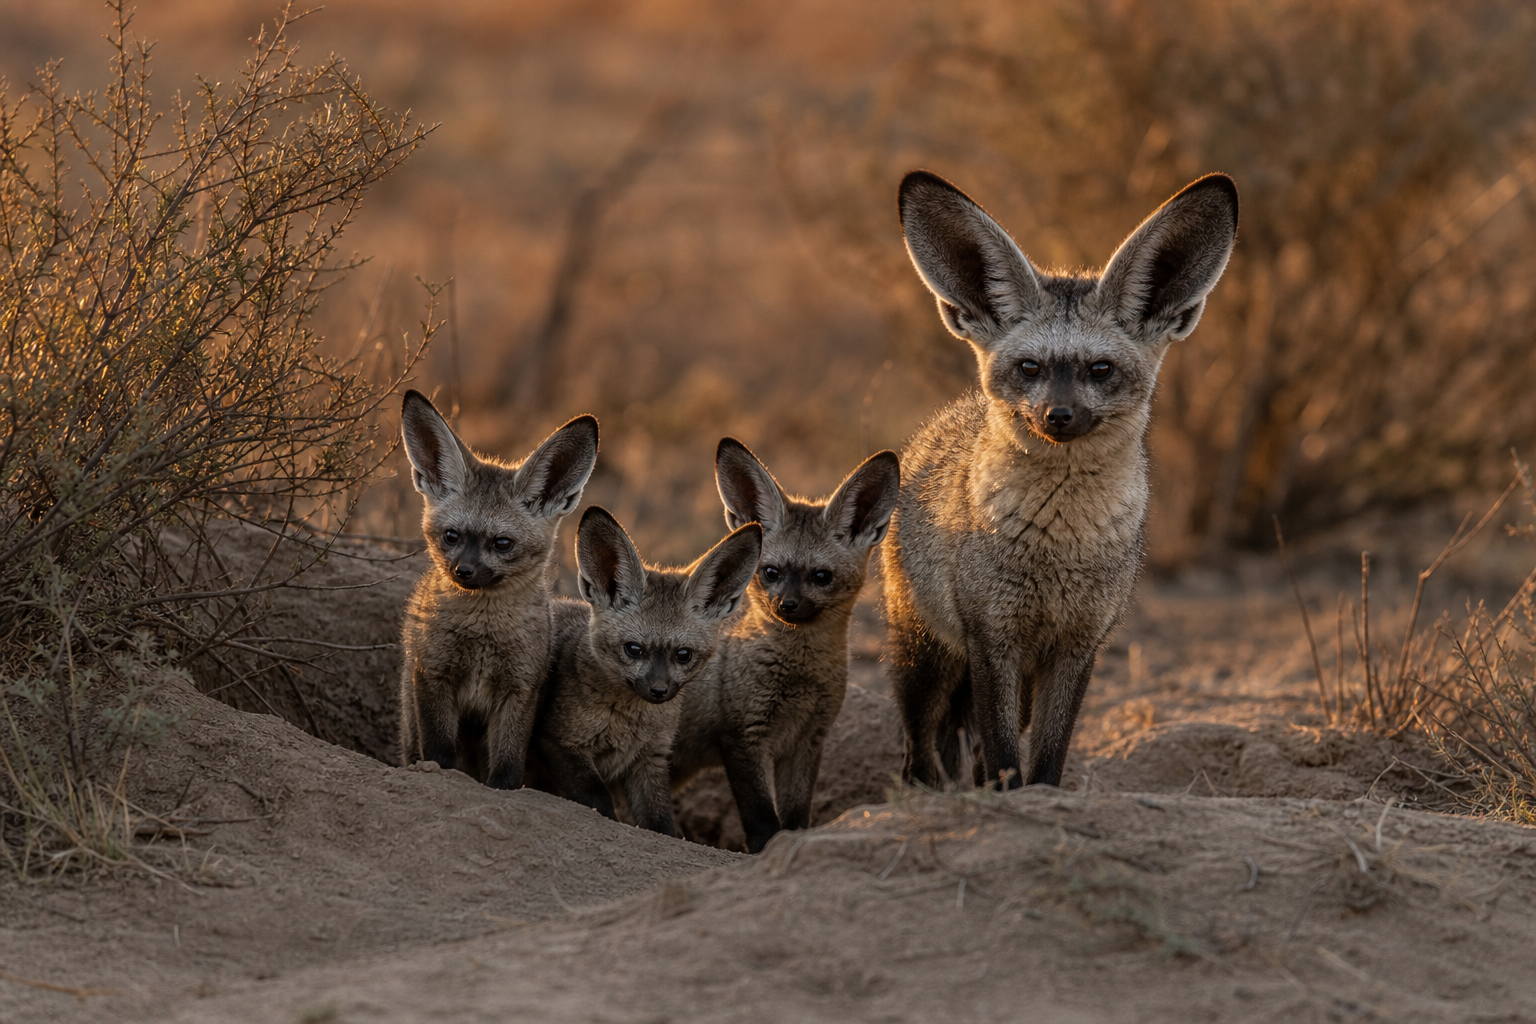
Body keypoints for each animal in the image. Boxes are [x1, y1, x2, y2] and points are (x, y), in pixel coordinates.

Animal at [397, 389, 599, 789]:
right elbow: (439, 753)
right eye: (452, 536)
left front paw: (503, 787)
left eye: (502, 543)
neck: (483, 634)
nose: (464, 571)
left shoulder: (520, 689)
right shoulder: (432, 675)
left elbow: (507, 765)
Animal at [532, 506, 762, 836]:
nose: (659, 691)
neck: (629, 726)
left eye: (683, 655)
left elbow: (661, 823)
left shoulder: (650, 760)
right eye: (633, 649)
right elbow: (600, 801)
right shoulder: (561, 743)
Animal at [671, 438, 900, 853]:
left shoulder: (808, 739)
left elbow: (795, 817)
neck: (799, 682)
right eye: (771, 573)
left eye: (821, 576)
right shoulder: (743, 737)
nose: (786, 606)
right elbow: (763, 820)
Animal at [883, 170, 1238, 791]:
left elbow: (1045, 761)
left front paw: (1036, 799)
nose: (1059, 416)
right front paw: (1004, 803)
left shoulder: (1079, 644)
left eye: (1099, 370)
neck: (1058, 545)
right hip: (924, 655)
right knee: (919, 754)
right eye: (1030, 368)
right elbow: (1004, 758)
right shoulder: (992, 639)